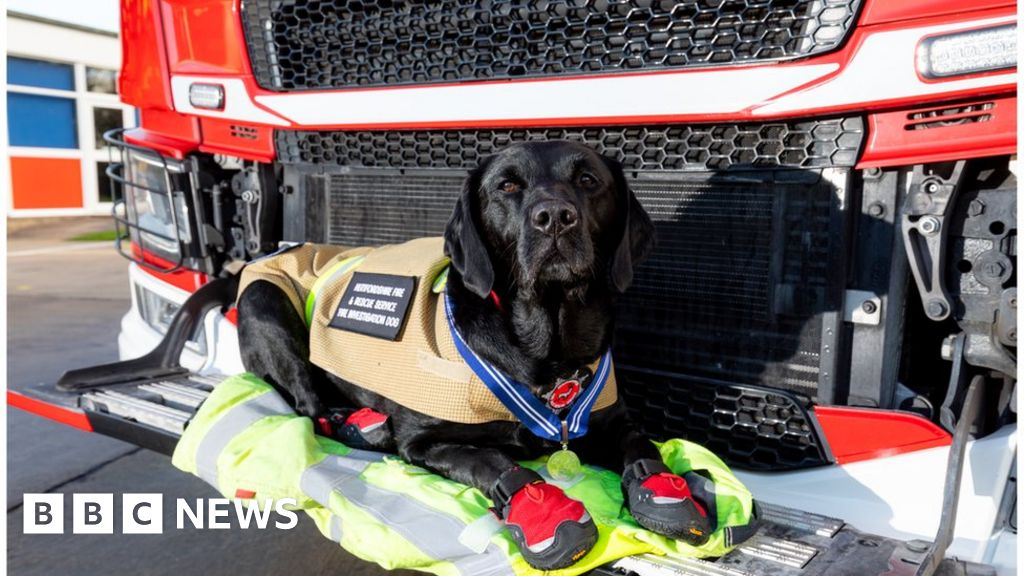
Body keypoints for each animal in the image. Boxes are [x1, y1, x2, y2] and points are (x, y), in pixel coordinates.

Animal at [235, 141, 708, 565]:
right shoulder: (423, 438)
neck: (547, 349)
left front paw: (662, 489)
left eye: (588, 180)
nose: (555, 217)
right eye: (507, 185)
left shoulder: (611, 419)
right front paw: (540, 506)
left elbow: (640, 443)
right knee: (307, 405)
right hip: (265, 302)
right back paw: (360, 425)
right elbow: (490, 458)